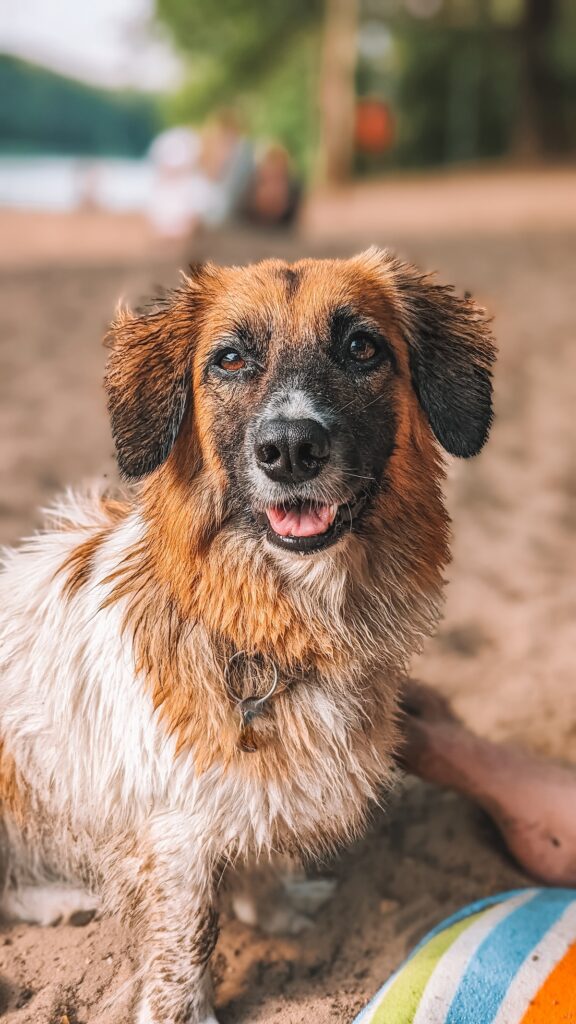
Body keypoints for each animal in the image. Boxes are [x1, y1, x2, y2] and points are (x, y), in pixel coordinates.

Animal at [0, 249, 494, 1024]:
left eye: (362, 347)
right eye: (229, 359)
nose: (290, 448)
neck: (279, 618)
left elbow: (259, 846)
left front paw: (280, 909)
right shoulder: (174, 831)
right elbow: (188, 943)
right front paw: (187, 1011)